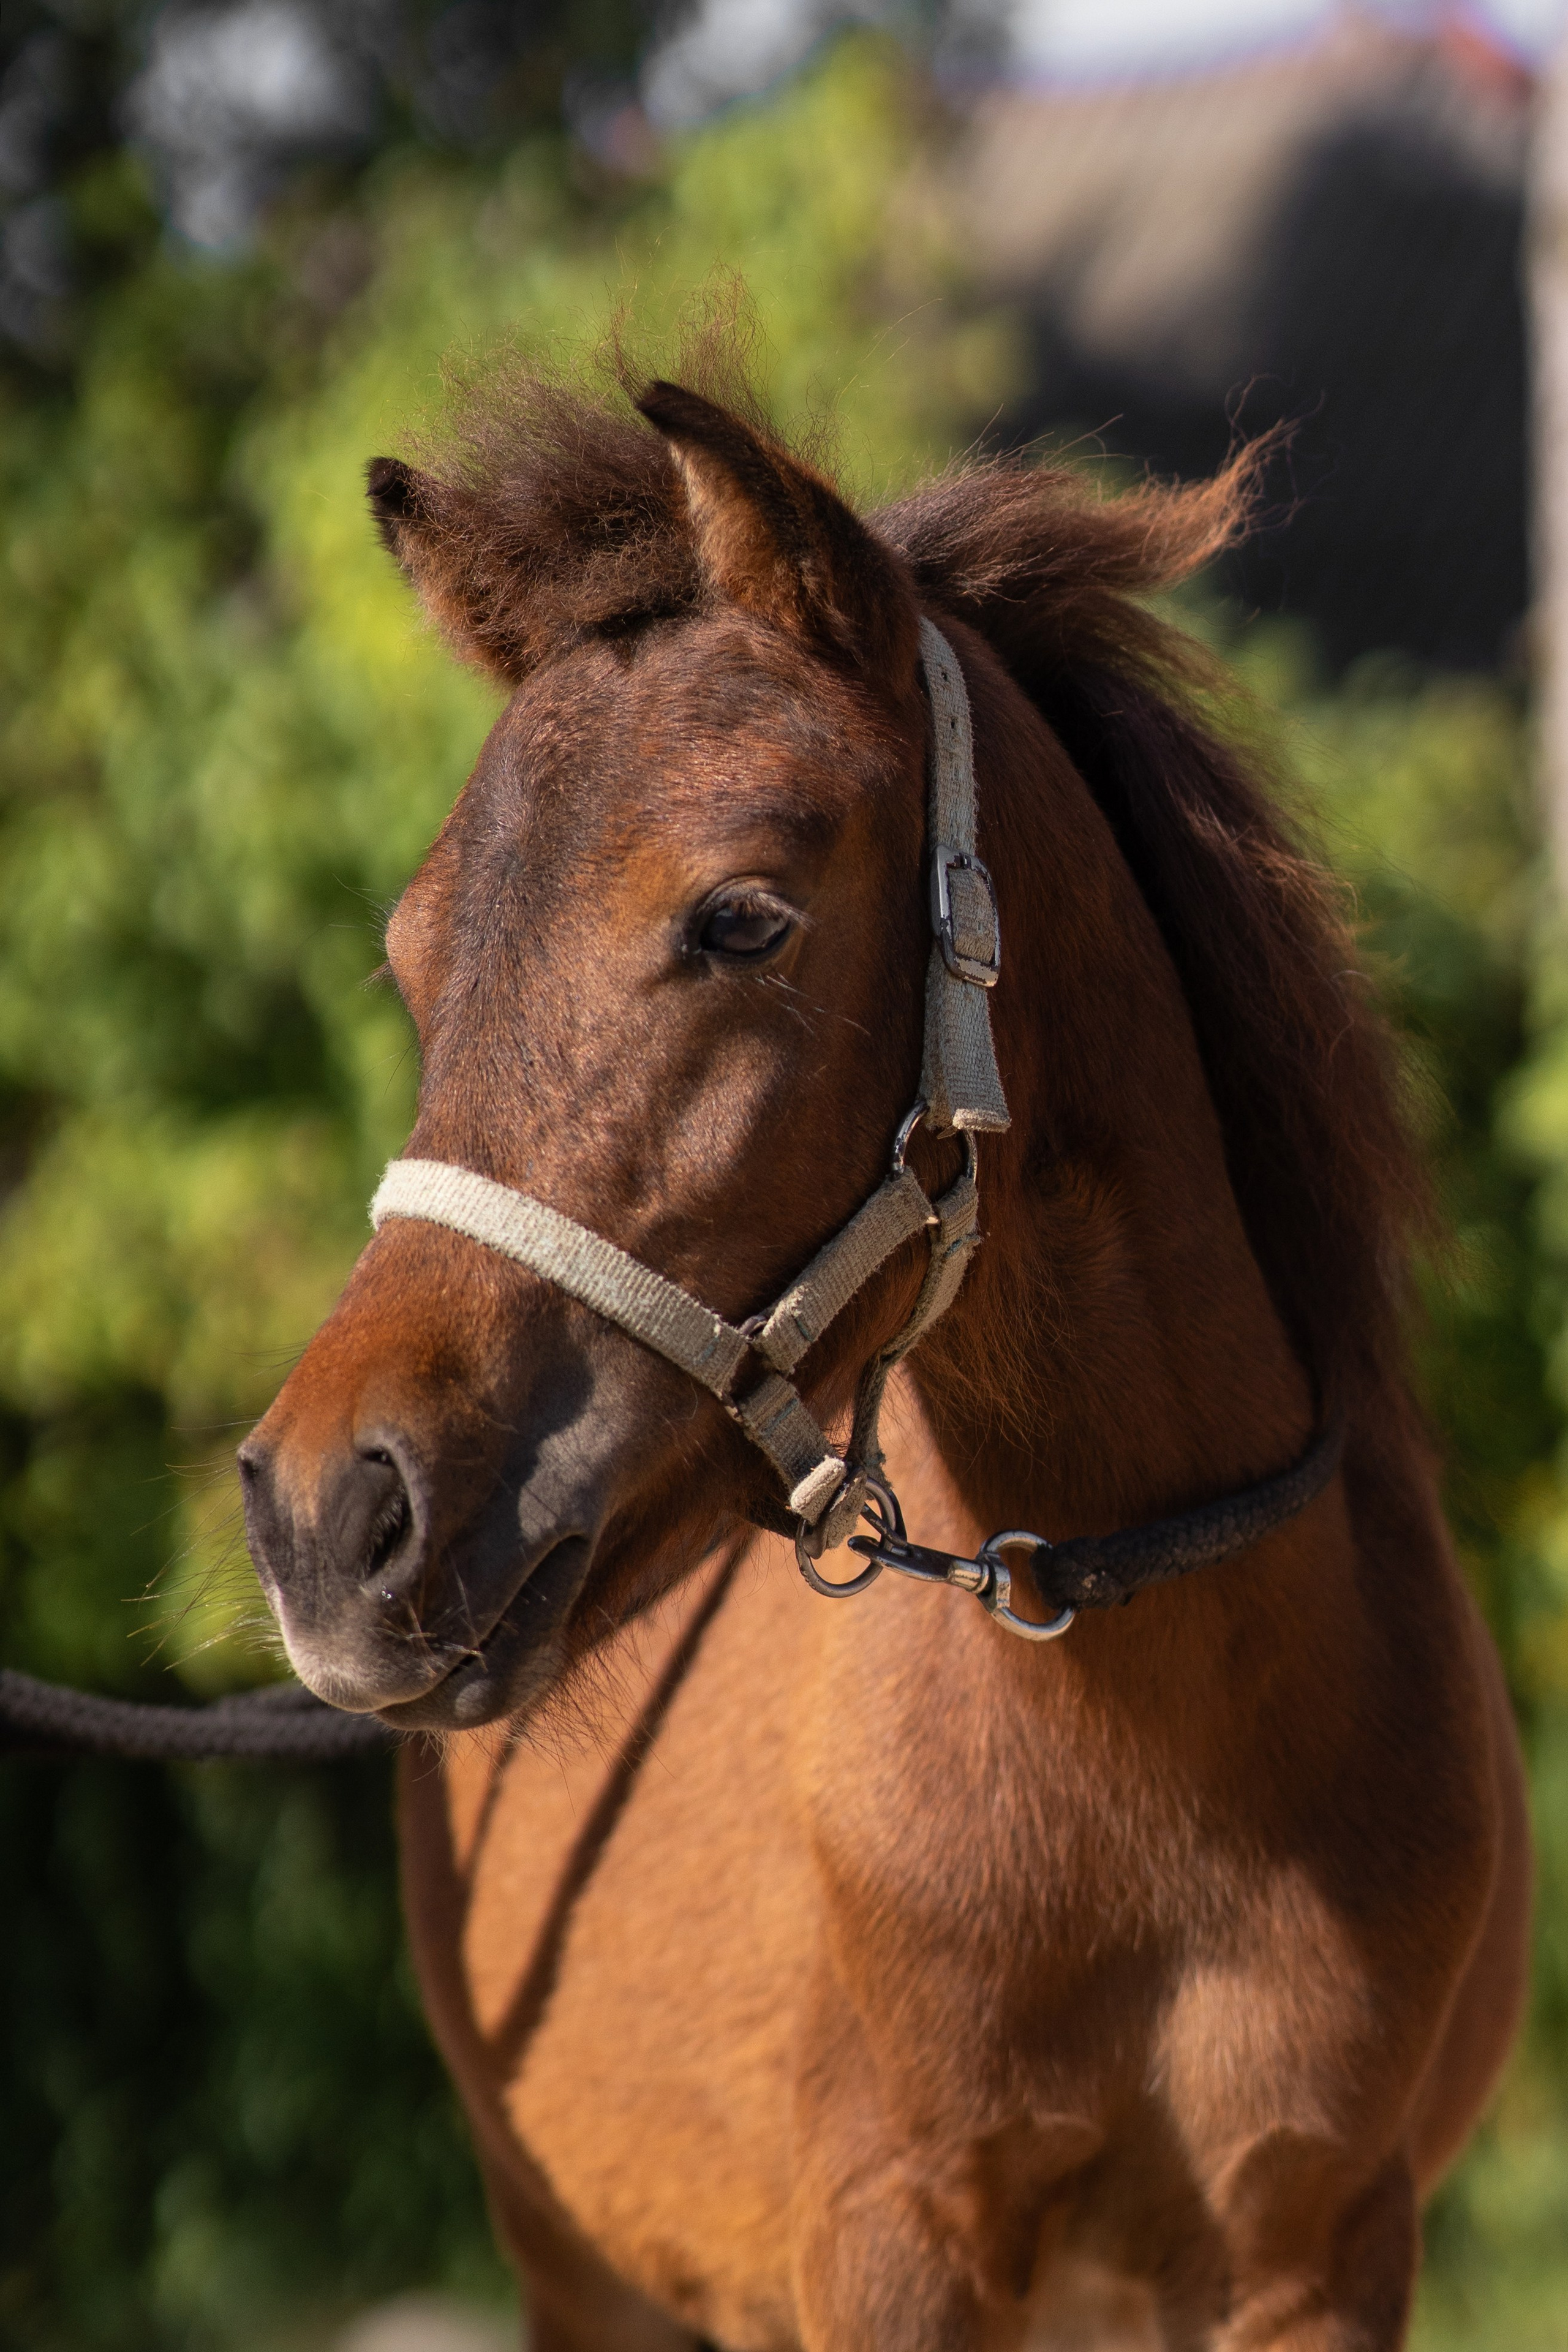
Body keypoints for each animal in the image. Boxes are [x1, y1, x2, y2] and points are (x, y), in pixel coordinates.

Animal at [237, 360, 1531, 2350]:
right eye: (412, 954)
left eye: (740, 917)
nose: (326, 1519)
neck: (1167, 1752)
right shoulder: (888, 2246)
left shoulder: (1317, 2249)